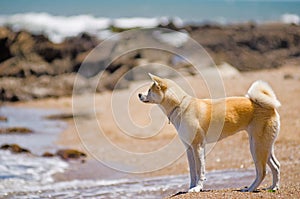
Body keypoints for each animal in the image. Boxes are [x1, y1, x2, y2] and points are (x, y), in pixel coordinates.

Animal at [139, 74, 282, 192]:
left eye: (150, 90)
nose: (139, 94)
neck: (179, 105)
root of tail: (269, 106)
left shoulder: (197, 146)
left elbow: (199, 170)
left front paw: (197, 188)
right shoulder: (189, 148)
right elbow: (192, 172)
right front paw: (191, 187)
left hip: (256, 147)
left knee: (262, 171)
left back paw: (250, 189)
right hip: (264, 146)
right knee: (276, 166)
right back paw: (273, 187)